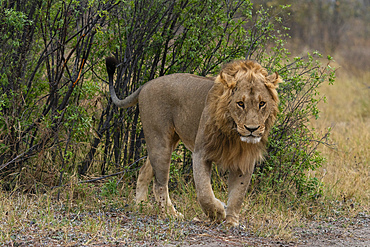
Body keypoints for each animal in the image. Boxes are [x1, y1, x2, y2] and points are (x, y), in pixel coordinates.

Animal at [105, 57, 278, 227]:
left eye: (262, 103)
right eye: (240, 104)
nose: (252, 129)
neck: (233, 133)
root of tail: (146, 85)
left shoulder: (245, 159)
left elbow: (238, 195)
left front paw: (231, 222)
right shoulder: (201, 153)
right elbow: (204, 192)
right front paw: (218, 212)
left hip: (168, 141)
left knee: (144, 171)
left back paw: (140, 204)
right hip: (160, 141)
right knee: (160, 183)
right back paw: (171, 214)